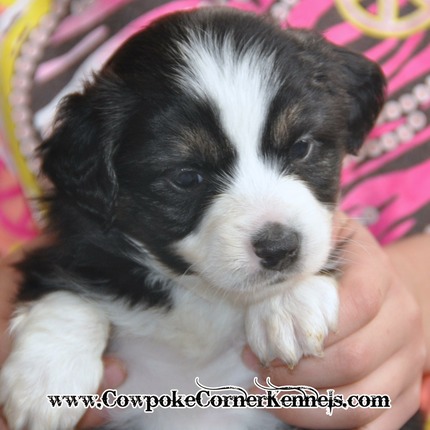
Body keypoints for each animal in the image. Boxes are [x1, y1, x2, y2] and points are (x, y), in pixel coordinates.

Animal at [0, 7, 384, 430]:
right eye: (186, 177)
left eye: (301, 148)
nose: (279, 247)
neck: (200, 295)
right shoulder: (74, 244)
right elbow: (66, 285)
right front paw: (46, 377)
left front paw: (288, 304)